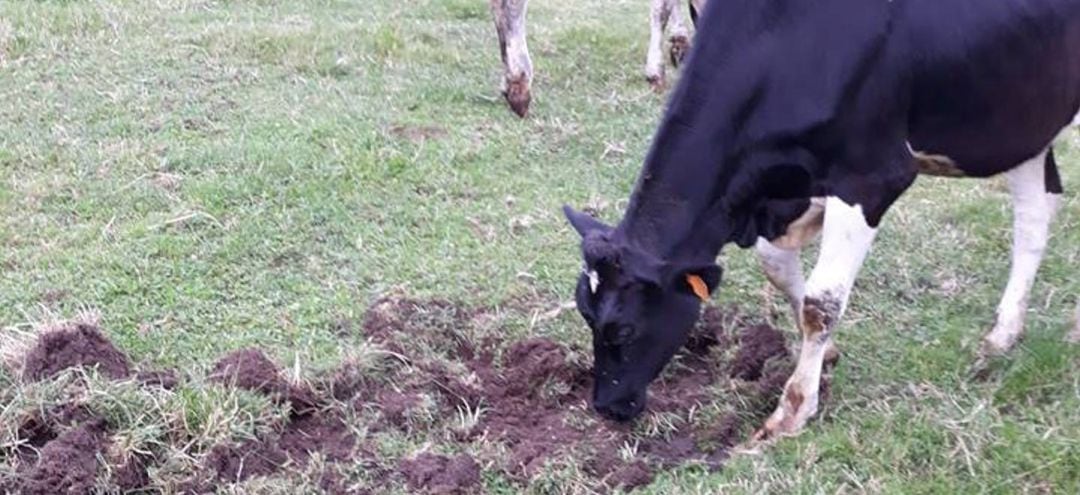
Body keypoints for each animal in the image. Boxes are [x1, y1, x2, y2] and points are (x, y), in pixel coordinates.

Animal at [565, 0, 1080, 440]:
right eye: (586, 315)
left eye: (623, 330)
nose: (606, 406)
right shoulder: (797, 181)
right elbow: (777, 266)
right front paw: (823, 355)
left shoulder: (873, 177)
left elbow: (822, 301)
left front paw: (792, 410)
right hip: (1024, 122)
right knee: (1035, 215)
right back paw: (1005, 332)